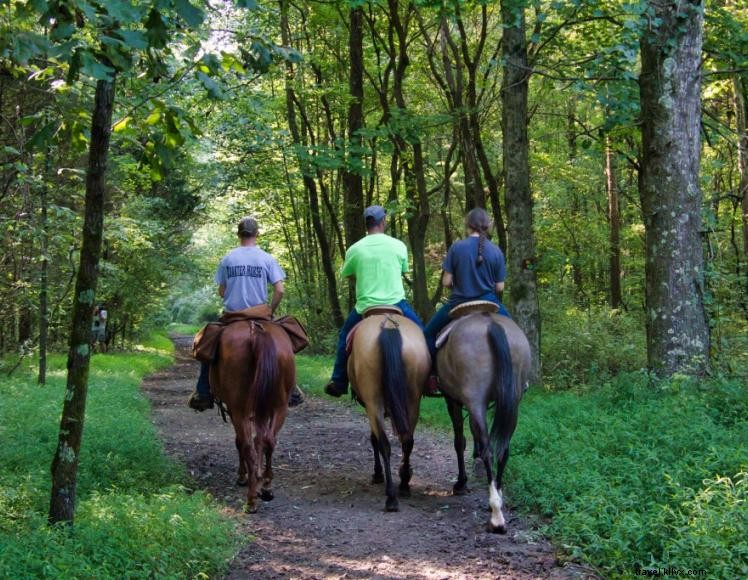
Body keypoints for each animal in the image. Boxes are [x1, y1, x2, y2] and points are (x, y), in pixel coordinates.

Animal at [209, 320, 296, 516]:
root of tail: (256, 329)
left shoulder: (235, 410)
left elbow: (241, 442)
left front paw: (243, 476)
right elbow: (260, 440)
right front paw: (258, 476)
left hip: (239, 409)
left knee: (247, 445)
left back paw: (251, 500)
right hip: (279, 406)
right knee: (269, 440)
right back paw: (267, 487)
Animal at [348, 308, 430, 512]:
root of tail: (388, 326)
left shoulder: (369, 407)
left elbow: (374, 439)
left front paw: (377, 474)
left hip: (373, 402)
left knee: (384, 444)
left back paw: (391, 496)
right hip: (412, 401)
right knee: (407, 440)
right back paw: (404, 485)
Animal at [438, 306, 532, 532]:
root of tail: (491, 324)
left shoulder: (452, 400)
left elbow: (459, 441)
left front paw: (461, 483)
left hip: (475, 400)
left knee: (488, 450)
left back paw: (496, 515)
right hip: (512, 401)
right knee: (502, 449)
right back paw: (497, 499)